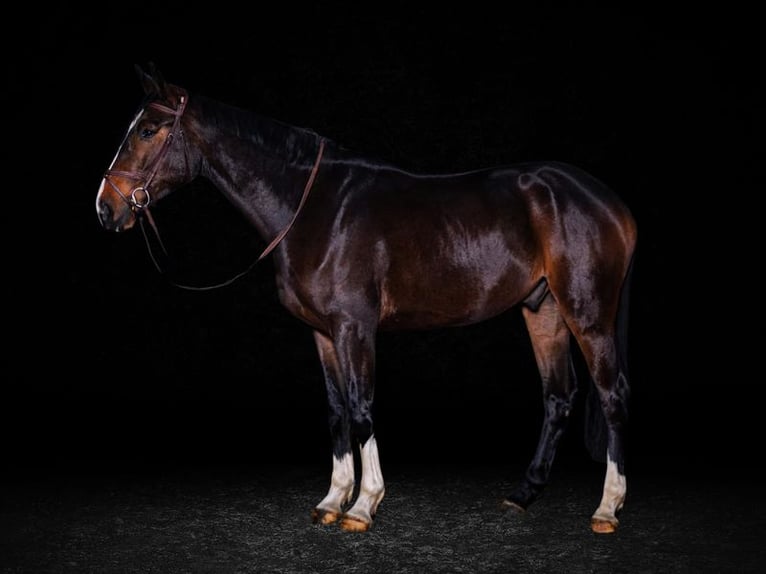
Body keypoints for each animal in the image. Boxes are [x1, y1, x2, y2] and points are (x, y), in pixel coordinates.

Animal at [94, 66, 636, 536]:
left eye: (148, 130)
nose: (105, 208)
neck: (314, 207)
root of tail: (609, 203)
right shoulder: (322, 332)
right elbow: (337, 409)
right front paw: (333, 500)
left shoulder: (354, 326)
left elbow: (360, 405)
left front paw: (363, 504)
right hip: (543, 309)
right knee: (558, 397)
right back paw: (524, 495)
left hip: (587, 313)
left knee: (611, 394)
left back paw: (607, 508)